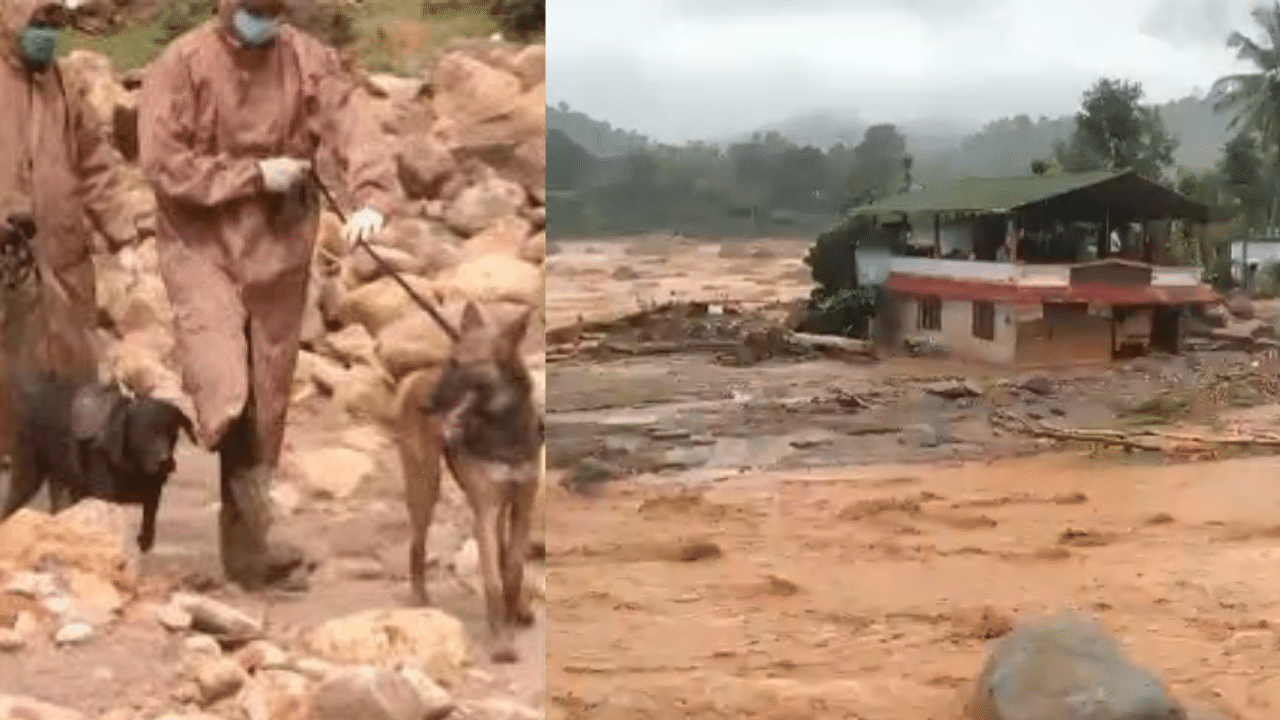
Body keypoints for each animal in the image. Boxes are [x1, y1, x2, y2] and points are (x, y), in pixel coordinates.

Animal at [0, 368, 194, 548]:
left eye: (172, 432)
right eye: (143, 431)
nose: (165, 461)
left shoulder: (154, 487)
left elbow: (150, 510)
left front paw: (144, 540)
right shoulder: (101, 489)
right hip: (29, 467)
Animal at [394, 298, 545, 661]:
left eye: (461, 364)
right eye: (449, 361)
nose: (426, 406)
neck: (505, 430)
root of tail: (417, 378)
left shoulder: (523, 503)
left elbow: (513, 569)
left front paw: (512, 615)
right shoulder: (486, 509)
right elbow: (492, 579)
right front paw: (502, 641)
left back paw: (520, 607)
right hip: (425, 486)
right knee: (417, 544)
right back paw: (420, 601)